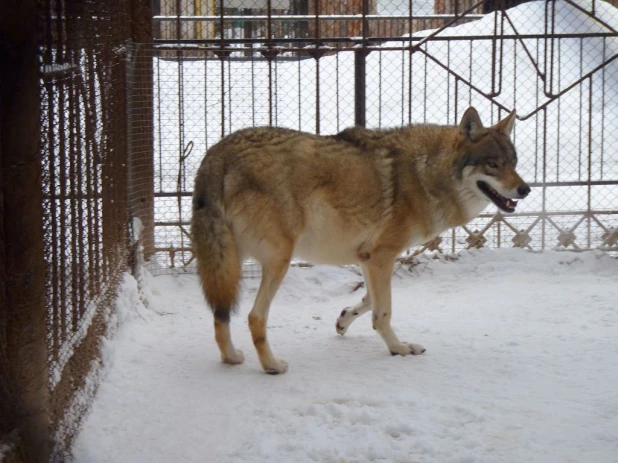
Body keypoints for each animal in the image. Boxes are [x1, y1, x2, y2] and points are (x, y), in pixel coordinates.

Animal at [190, 107, 528, 376]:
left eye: (514, 162)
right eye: (493, 165)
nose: (525, 189)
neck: (426, 173)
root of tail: (217, 153)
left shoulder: (368, 257)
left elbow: (368, 301)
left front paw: (343, 321)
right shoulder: (383, 256)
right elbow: (383, 311)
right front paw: (399, 349)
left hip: (230, 261)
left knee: (220, 315)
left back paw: (231, 358)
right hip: (278, 260)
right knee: (254, 316)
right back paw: (272, 366)